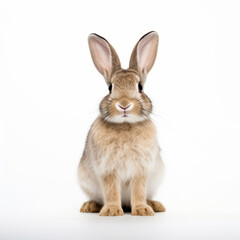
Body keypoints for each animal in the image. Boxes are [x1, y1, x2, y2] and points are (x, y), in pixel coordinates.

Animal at [79, 31, 165, 217]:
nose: (124, 104)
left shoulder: (141, 169)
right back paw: (90, 206)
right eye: (110, 88)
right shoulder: (107, 169)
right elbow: (111, 190)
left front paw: (142, 210)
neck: (125, 125)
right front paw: (111, 211)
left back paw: (155, 205)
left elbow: (138, 190)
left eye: (140, 87)